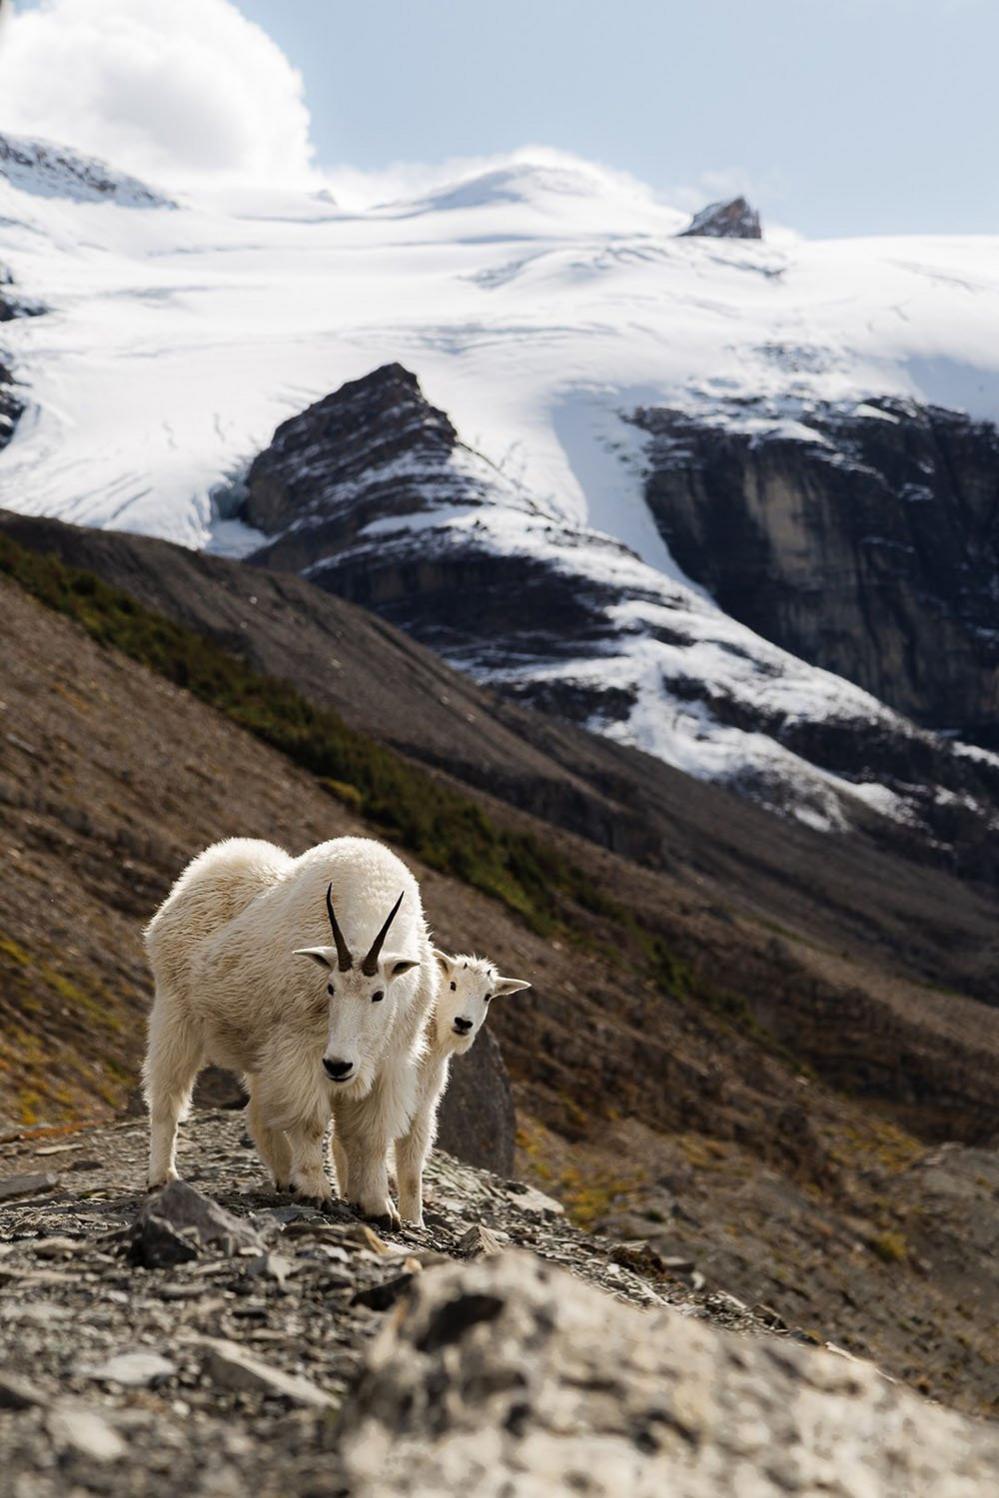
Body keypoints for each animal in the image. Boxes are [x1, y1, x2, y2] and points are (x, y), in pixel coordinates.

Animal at [144, 838, 437, 1222]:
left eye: (378, 995)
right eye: (330, 988)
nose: (339, 1066)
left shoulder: (390, 1062)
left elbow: (372, 1136)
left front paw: (379, 1206)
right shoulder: (300, 1046)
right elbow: (310, 1121)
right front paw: (314, 1189)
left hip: (257, 1045)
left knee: (258, 1112)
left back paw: (284, 1177)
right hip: (177, 1014)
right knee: (168, 1097)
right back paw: (162, 1177)